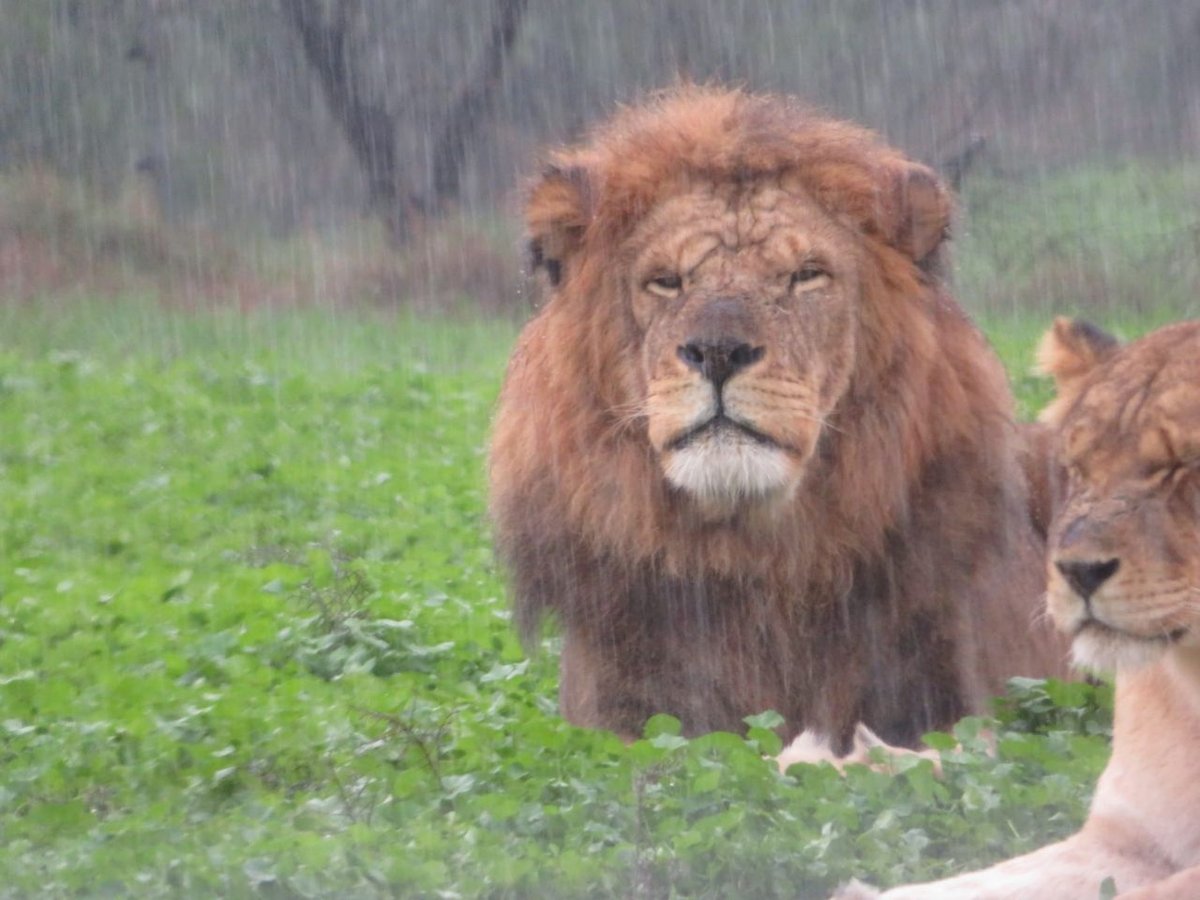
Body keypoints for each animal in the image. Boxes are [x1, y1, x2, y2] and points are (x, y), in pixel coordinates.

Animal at [487, 90, 1070, 753]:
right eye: (666, 282)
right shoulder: (621, 716)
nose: (718, 351)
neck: (752, 560)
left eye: (806, 275)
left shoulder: (940, 707)